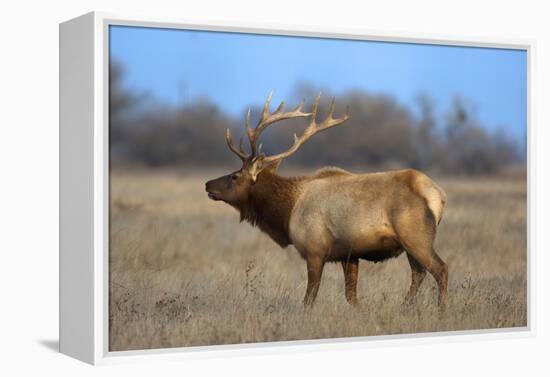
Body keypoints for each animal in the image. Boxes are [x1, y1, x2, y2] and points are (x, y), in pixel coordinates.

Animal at [206, 93, 448, 308]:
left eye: (235, 176)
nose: (207, 184)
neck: (286, 212)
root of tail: (437, 195)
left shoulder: (314, 250)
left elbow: (309, 299)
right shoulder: (349, 254)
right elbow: (351, 297)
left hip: (416, 237)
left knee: (440, 270)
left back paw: (440, 310)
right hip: (410, 244)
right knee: (419, 274)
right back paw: (404, 306)